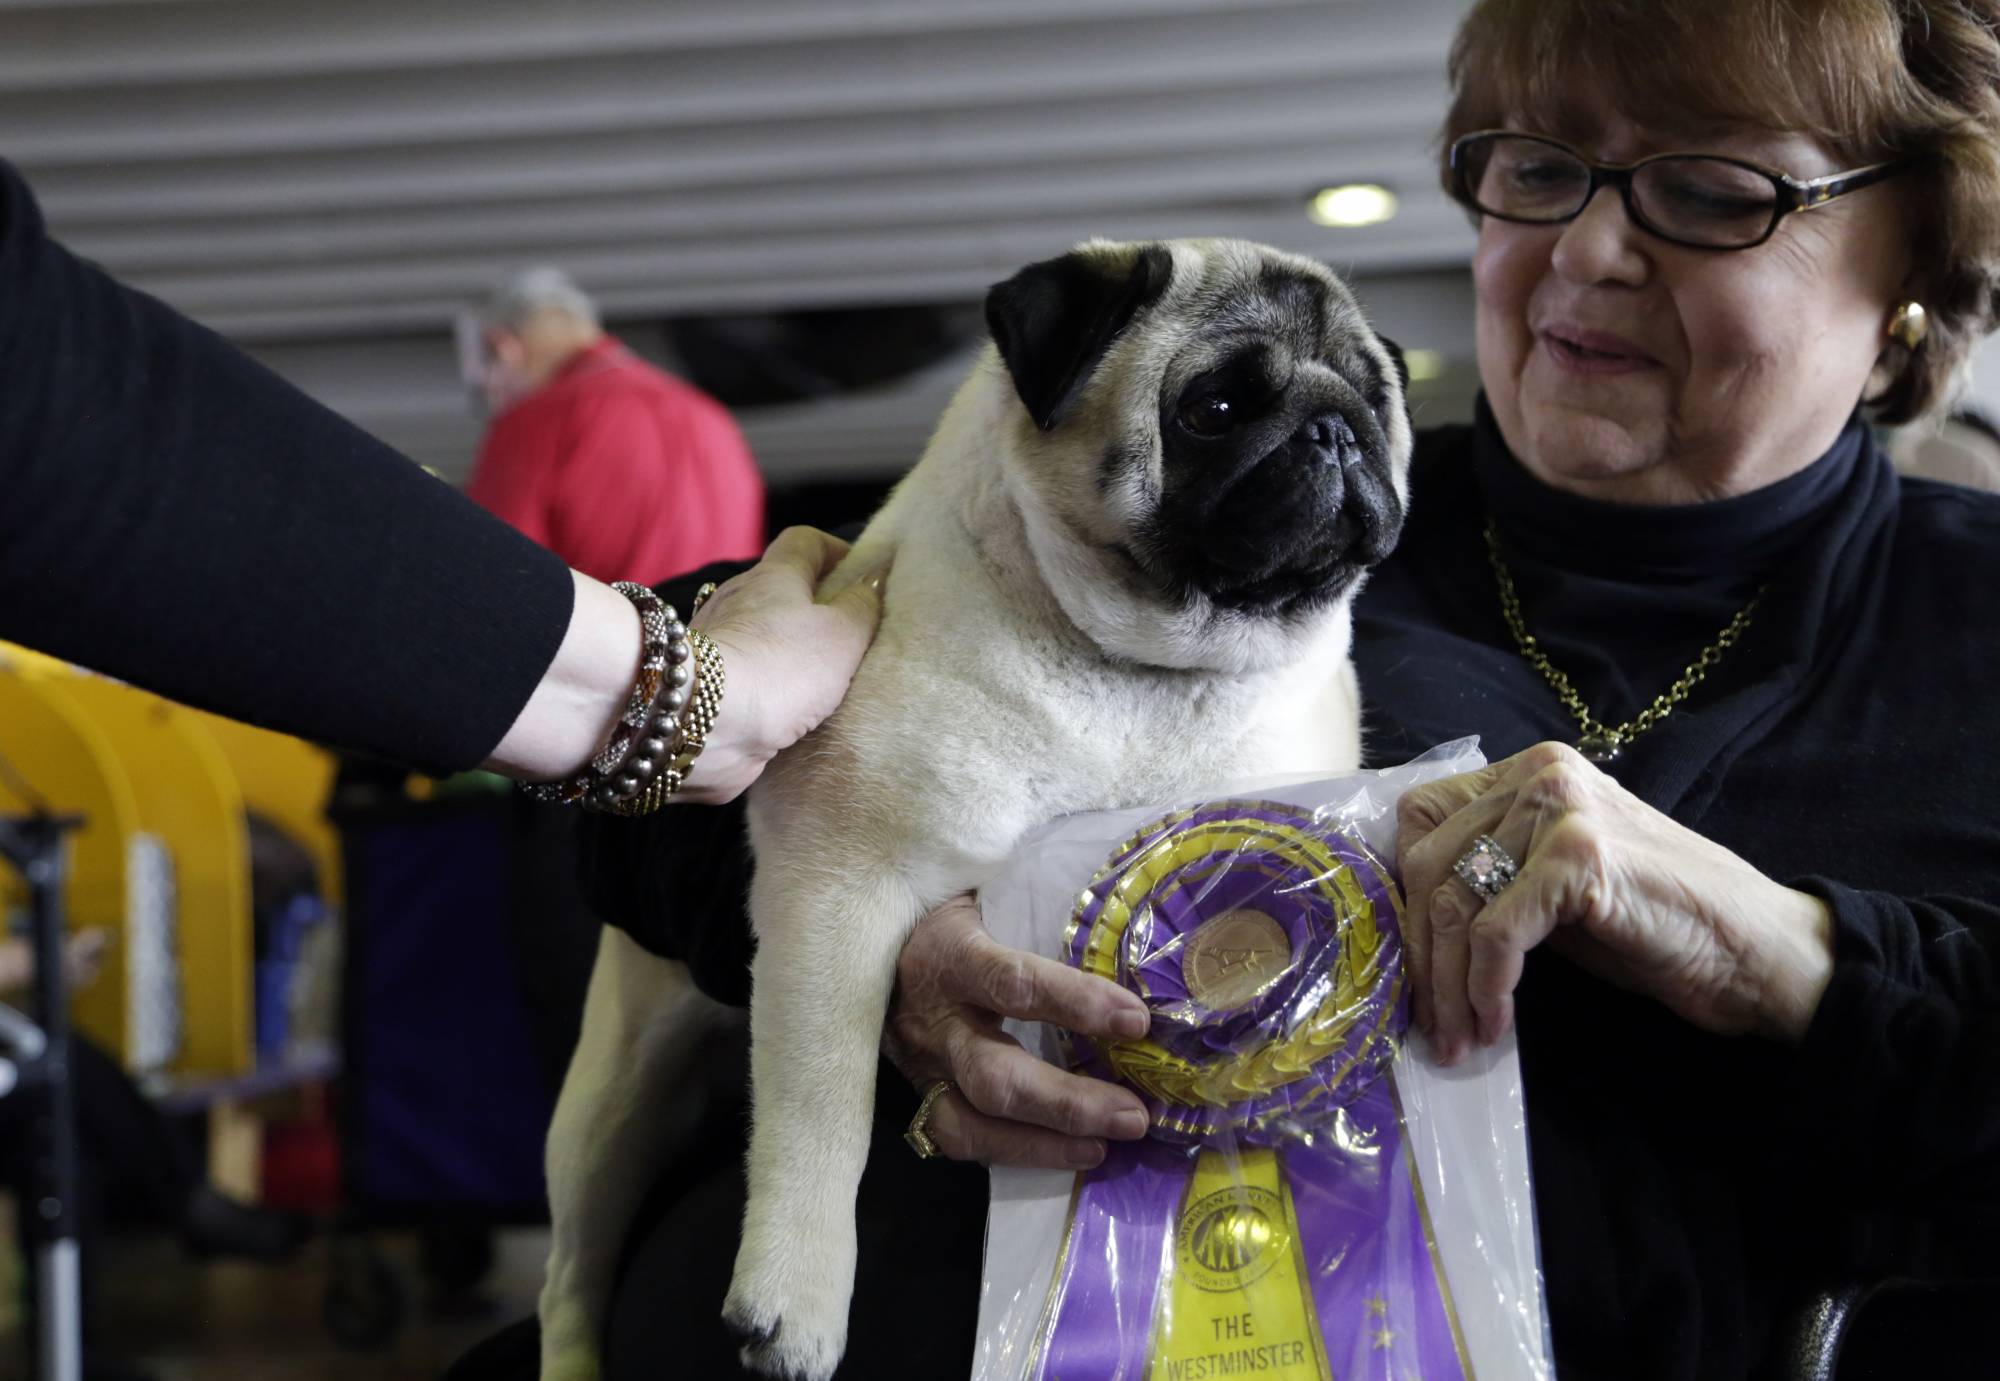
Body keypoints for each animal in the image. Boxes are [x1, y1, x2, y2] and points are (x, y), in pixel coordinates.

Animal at [532, 239, 1408, 1376]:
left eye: (1374, 400)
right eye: (1211, 407)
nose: (1334, 427)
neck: (1148, 674)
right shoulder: (837, 900)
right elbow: (822, 1111)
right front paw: (794, 1302)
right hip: (614, 1099)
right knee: (568, 1274)